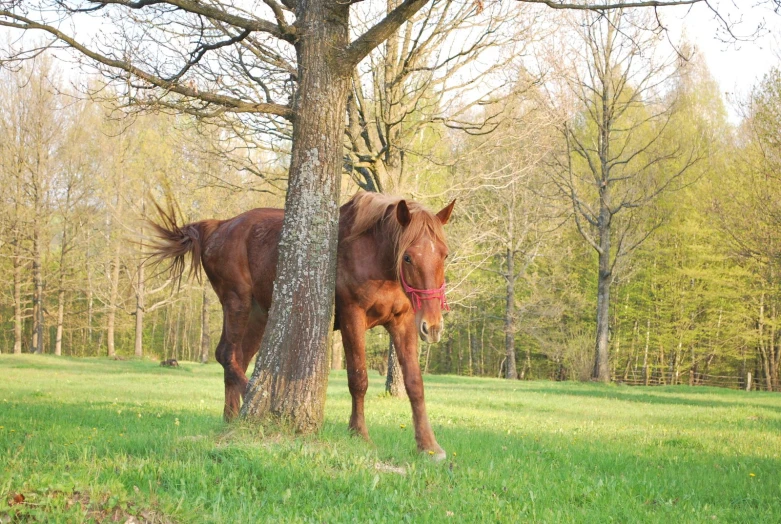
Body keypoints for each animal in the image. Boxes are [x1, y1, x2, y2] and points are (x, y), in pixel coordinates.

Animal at [148, 192, 450, 458]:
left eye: (444, 255)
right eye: (408, 256)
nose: (433, 326)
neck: (374, 254)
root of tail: (220, 226)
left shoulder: (404, 322)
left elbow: (414, 383)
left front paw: (429, 445)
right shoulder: (353, 317)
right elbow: (358, 379)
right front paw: (359, 434)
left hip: (259, 316)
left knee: (237, 359)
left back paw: (231, 419)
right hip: (236, 303)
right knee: (226, 355)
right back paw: (257, 400)